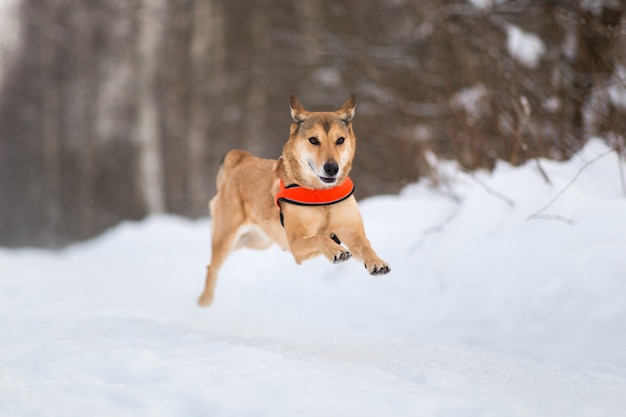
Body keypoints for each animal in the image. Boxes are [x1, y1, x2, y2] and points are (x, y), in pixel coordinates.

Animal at [197, 96, 388, 306]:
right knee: (212, 265)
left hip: (258, 240)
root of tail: (242, 161)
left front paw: (377, 262)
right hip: (227, 236)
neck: (322, 195)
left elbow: (365, 245)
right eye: (314, 140)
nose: (332, 168)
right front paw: (336, 251)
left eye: (340, 140)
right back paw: (204, 301)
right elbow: (320, 238)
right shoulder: (296, 244)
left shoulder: (353, 232)